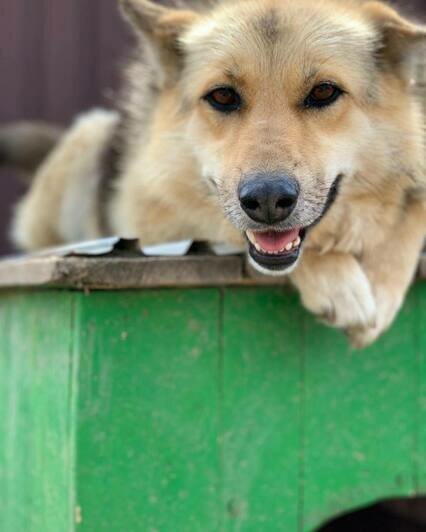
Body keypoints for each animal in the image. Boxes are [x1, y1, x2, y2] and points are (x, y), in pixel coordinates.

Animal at [0, 0, 426, 348]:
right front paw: (338, 280)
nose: (267, 200)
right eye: (222, 96)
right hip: (89, 135)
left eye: (324, 92)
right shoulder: (160, 217)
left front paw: (383, 285)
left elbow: (412, 213)